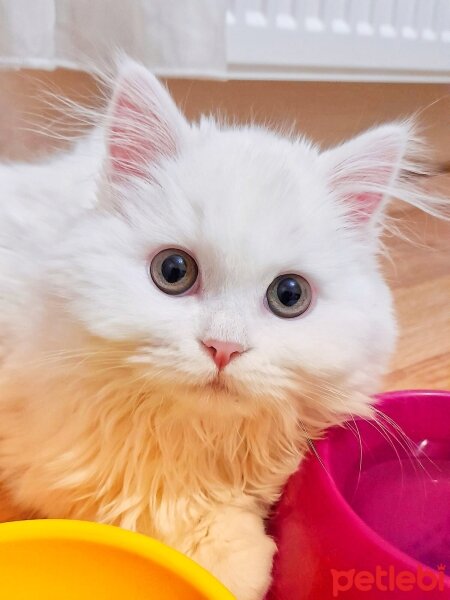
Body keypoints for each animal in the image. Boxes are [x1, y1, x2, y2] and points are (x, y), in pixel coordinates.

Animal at [0, 57, 444, 600]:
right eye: (173, 272)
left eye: (289, 295)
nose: (223, 347)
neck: (200, 440)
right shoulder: (56, 451)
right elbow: (148, 503)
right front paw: (238, 564)